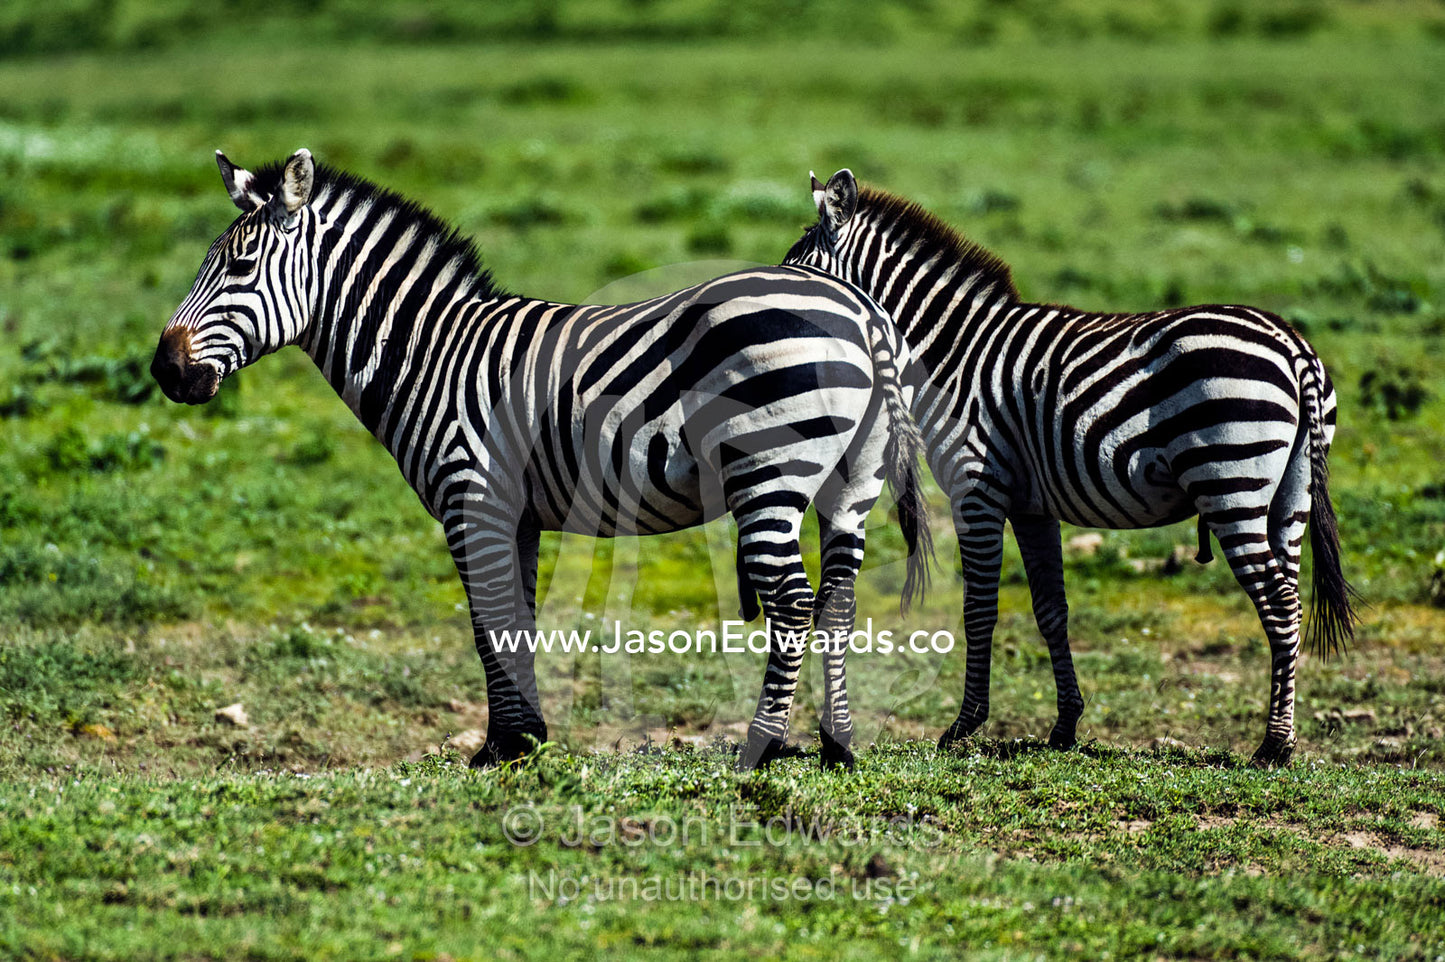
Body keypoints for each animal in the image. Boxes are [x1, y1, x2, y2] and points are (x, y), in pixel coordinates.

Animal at [150, 149, 930, 772]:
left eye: (239, 267)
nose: (163, 370)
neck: (431, 356)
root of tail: (861, 311)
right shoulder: (515, 513)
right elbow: (516, 620)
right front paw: (523, 740)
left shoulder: (472, 498)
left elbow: (487, 622)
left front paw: (501, 748)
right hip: (850, 482)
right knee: (836, 600)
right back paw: (837, 746)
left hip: (769, 471)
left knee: (794, 602)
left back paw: (761, 748)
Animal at [783, 168, 1358, 767]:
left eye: (795, 271)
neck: (952, 353)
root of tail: (1293, 346)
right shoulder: (1032, 505)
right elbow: (1050, 608)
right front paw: (1065, 726)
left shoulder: (977, 486)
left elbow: (979, 608)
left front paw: (964, 727)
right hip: (1288, 497)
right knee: (1287, 600)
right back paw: (1281, 737)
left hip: (1232, 483)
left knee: (1279, 603)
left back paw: (1273, 746)